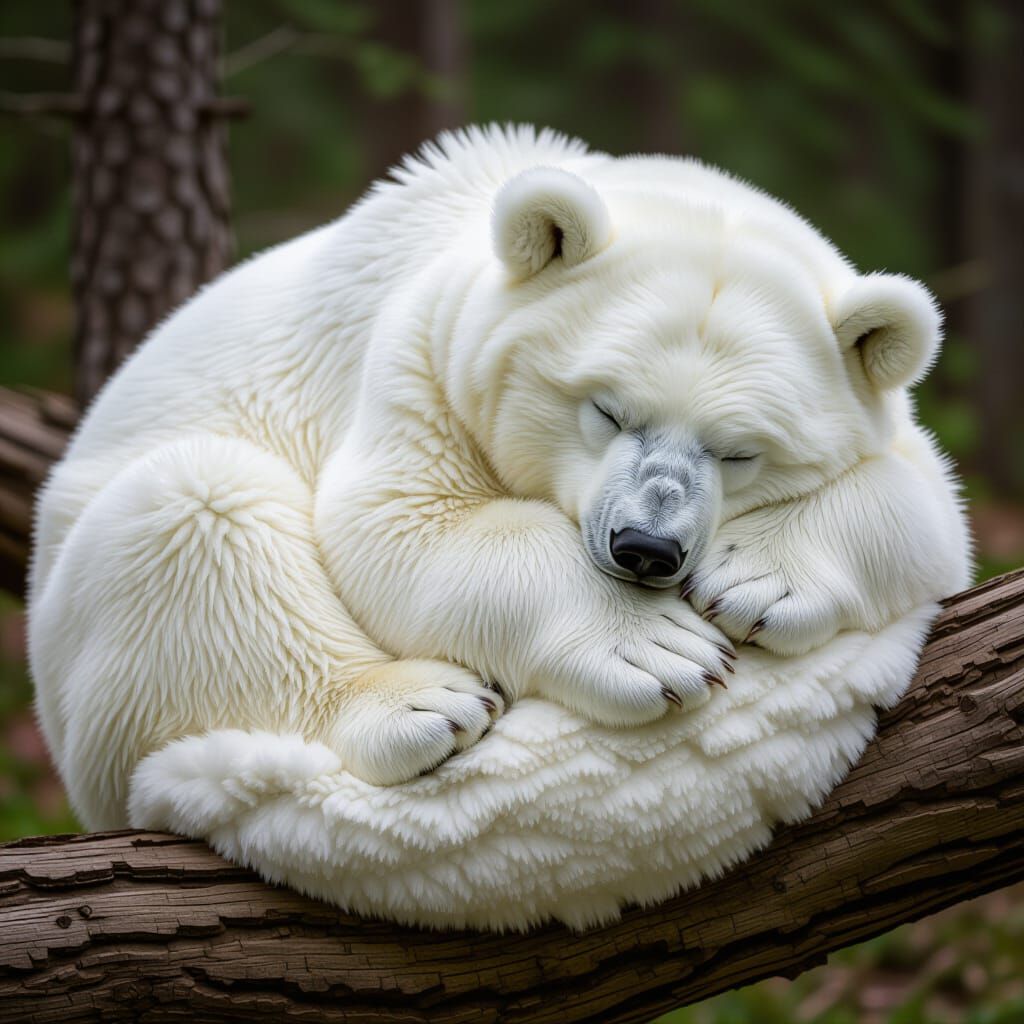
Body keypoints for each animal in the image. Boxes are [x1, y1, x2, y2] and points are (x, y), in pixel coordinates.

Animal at [28, 125, 970, 830]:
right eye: (607, 411)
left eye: (740, 451)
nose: (645, 547)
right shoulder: (422, 356)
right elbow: (404, 523)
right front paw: (658, 647)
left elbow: (927, 511)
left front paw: (758, 580)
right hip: (79, 647)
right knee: (191, 503)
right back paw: (420, 706)